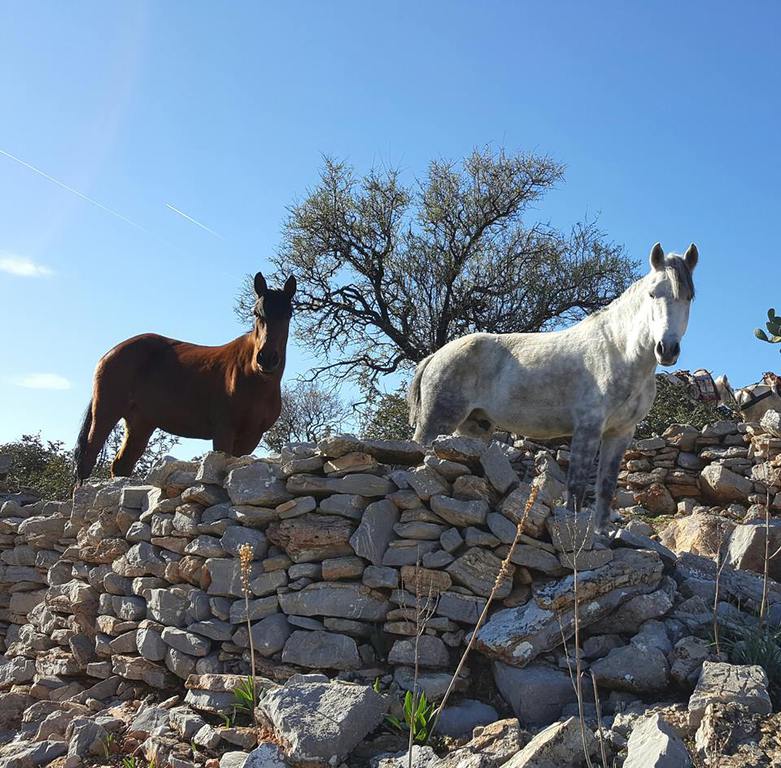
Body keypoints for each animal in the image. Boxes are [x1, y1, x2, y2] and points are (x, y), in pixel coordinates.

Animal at [74, 272, 296, 483]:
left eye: (288, 314)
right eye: (256, 313)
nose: (267, 359)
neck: (253, 377)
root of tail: (109, 354)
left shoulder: (251, 437)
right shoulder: (224, 431)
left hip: (141, 423)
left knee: (121, 465)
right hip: (106, 414)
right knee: (87, 460)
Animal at [408, 242, 699, 530]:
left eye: (689, 297)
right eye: (652, 294)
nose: (667, 349)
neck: (617, 351)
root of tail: (436, 356)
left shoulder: (620, 433)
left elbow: (606, 487)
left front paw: (602, 532)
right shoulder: (587, 429)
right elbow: (576, 487)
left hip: (471, 428)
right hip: (436, 423)